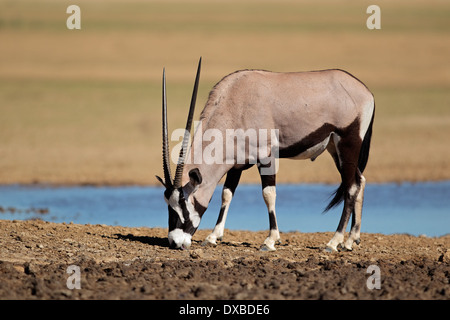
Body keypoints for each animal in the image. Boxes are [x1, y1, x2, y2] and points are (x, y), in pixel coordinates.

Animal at [156, 57, 374, 252]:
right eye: (168, 204)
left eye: (184, 204)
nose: (174, 242)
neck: (234, 104)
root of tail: (367, 92)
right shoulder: (236, 164)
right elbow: (226, 194)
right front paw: (213, 237)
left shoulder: (266, 157)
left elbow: (268, 193)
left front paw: (270, 241)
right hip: (335, 149)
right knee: (359, 181)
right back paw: (351, 240)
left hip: (348, 143)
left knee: (351, 187)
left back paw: (334, 242)